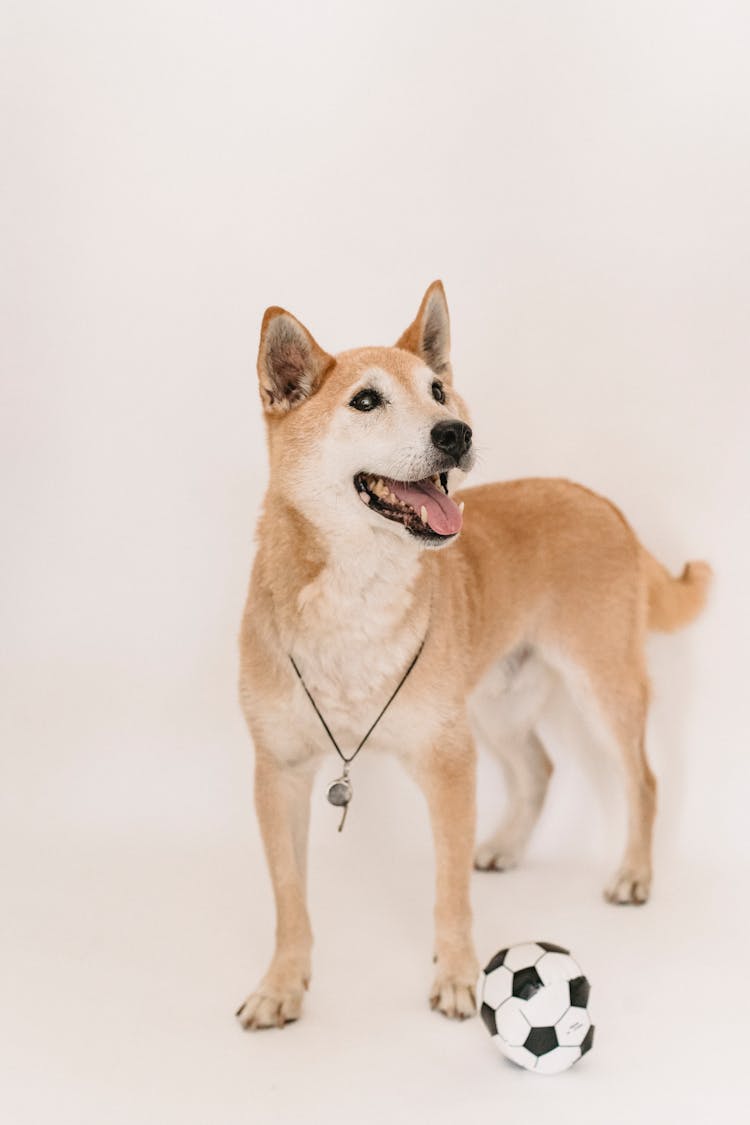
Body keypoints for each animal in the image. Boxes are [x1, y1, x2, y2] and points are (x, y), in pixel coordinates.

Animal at [237, 281, 715, 1030]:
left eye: (437, 390)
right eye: (366, 400)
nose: (454, 433)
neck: (357, 593)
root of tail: (599, 499)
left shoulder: (448, 761)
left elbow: (449, 887)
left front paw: (459, 974)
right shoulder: (278, 772)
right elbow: (290, 898)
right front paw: (283, 983)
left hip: (601, 686)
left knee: (643, 780)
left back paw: (634, 873)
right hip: (496, 704)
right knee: (541, 768)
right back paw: (508, 846)